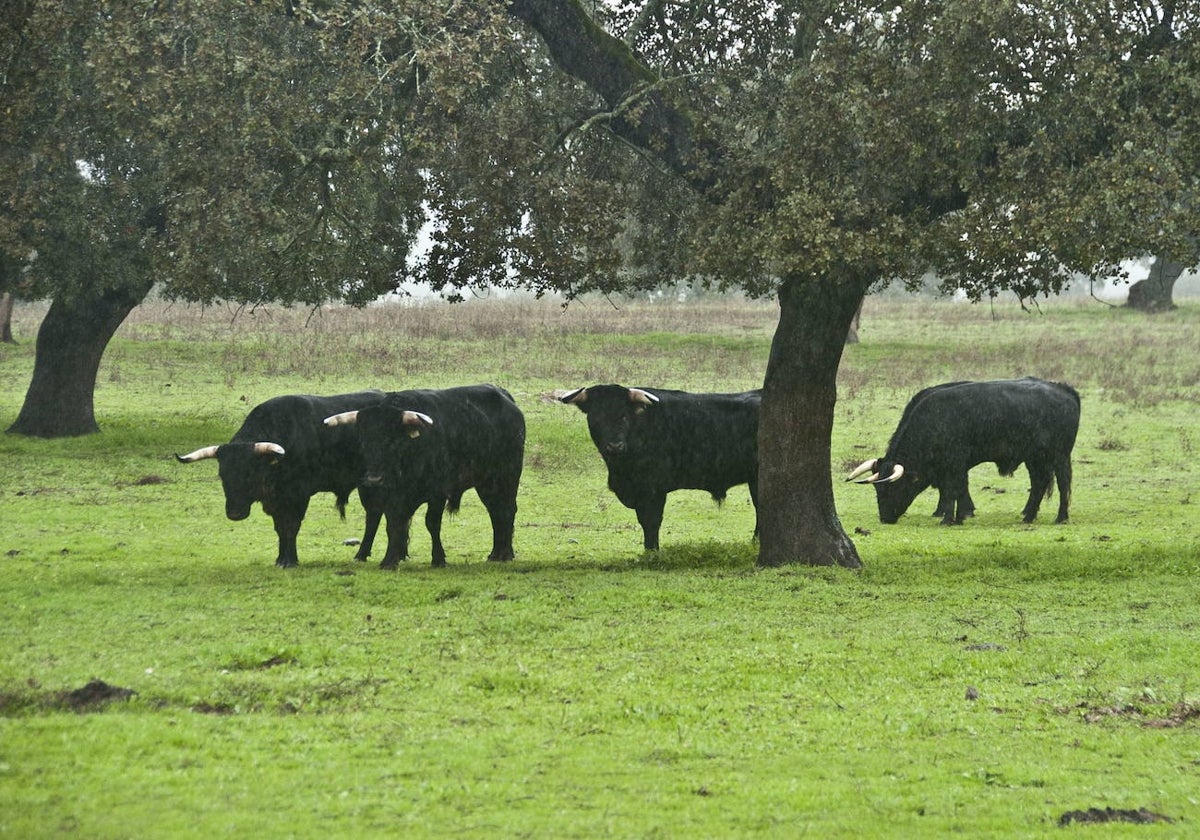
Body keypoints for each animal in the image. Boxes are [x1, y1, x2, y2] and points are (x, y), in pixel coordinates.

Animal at [175, 391, 384, 568]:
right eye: (222, 474)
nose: (235, 513)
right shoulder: (275, 501)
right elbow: (280, 528)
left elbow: (291, 526)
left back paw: (360, 554)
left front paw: (289, 561)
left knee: (373, 515)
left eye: (250, 473)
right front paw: (281, 559)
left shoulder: (298, 495)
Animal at [324, 384, 525, 568]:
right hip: (486, 483)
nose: (374, 480)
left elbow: (432, 523)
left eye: (392, 441)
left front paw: (438, 558)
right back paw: (496, 553)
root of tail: (503, 395)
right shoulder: (392, 496)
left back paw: (505, 554)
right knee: (495, 511)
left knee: (507, 509)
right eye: (363, 442)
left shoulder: (438, 492)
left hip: (507, 476)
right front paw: (390, 560)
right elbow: (394, 524)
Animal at [554, 381, 758, 552]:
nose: (614, 446)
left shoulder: (653, 489)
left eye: (624, 416)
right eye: (596, 418)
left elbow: (651, 521)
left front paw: (652, 551)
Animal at [849, 376, 1084, 520]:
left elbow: (954, 487)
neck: (935, 418)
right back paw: (1028, 515)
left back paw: (1061, 517)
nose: (885, 518)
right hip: (1034, 459)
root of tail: (1063, 389)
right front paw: (959, 512)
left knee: (1063, 484)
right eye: (877, 489)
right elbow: (957, 487)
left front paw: (955, 514)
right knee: (1039, 483)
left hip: (1059, 457)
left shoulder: (955, 463)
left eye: (892, 487)